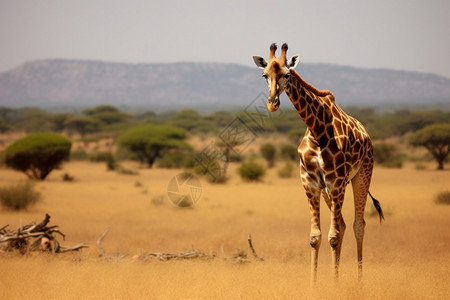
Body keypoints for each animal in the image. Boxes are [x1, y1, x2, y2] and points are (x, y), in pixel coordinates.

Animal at [253, 42, 384, 284]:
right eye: (264, 75)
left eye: (287, 74)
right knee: (343, 224)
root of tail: (367, 136)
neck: (317, 130)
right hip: (328, 190)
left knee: (358, 225)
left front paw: (335, 285)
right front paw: (314, 285)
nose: (272, 104)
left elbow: (333, 236)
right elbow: (316, 237)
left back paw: (359, 281)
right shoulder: (311, 183)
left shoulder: (337, 182)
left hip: (361, 175)